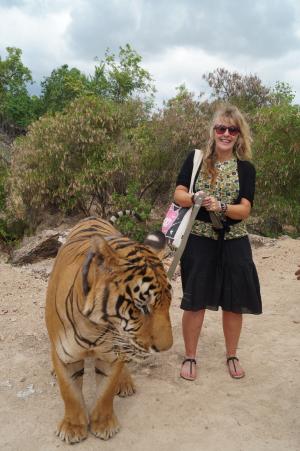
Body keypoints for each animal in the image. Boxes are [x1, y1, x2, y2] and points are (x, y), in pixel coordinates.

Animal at [45, 218, 173, 444]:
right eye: (142, 306)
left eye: (169, 302)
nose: (165, 347)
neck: (94, 327)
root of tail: (93, 217)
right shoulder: (65, 356)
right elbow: (69, 392)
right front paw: (72, 428)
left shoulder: (112, 356)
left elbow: (106, 392)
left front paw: (103, 425)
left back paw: (126, 382)